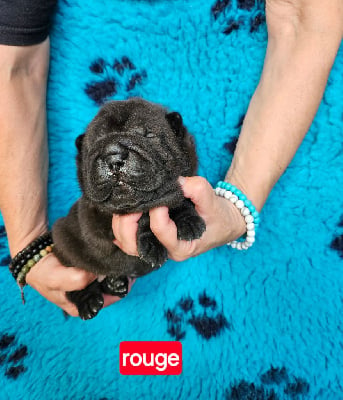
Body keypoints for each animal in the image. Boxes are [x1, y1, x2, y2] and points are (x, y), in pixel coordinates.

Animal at [52, 98, 206, 320]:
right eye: (96, 144)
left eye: (147, 135)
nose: (113, 155)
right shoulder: (102, 216)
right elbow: (145, 215)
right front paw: (152, 245)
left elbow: (180, 199)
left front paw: (188, 221)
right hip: (63, 240)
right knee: (73, 287)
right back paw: (89, 301)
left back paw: (114, 284)